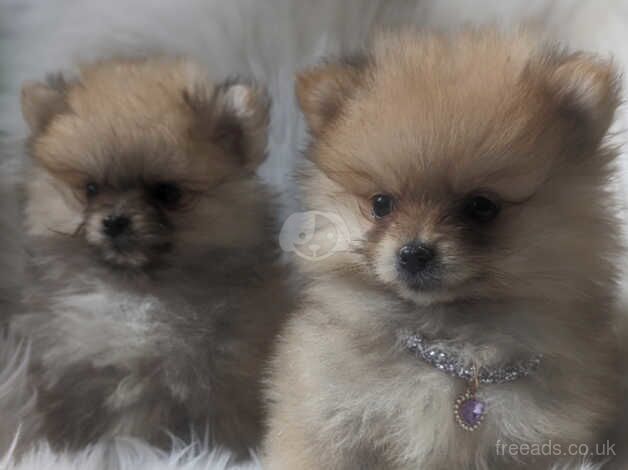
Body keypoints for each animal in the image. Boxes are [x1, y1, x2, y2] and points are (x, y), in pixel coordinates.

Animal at [12, 57, 292, 458]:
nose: (115, 221)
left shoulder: (221, 380)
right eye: (90, 189)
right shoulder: (73, 372)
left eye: (167, 193)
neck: (137, 293)